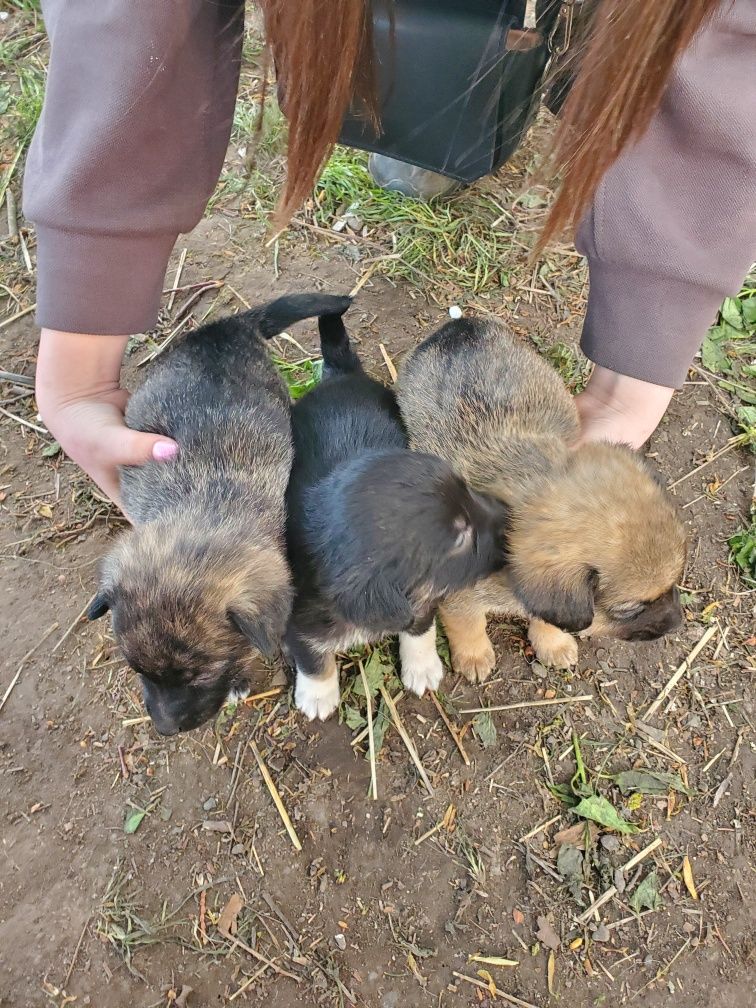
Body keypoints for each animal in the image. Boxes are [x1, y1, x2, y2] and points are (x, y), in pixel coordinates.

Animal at [284, 306, 510, 717]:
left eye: (468, 489)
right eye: (461, 536)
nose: (509, 514)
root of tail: (342, 373)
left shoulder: (422, 601)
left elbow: (419, 629)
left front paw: (422, 668)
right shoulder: (299, 620)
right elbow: (312, 658)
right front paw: (317, 695)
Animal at [399, 314, 689, 681]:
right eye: (630, 610)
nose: (677, 623)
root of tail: (462, 325)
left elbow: (548, 618)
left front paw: (552, 643)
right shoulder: (456, 594)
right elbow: (468, 623)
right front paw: (473, 655)